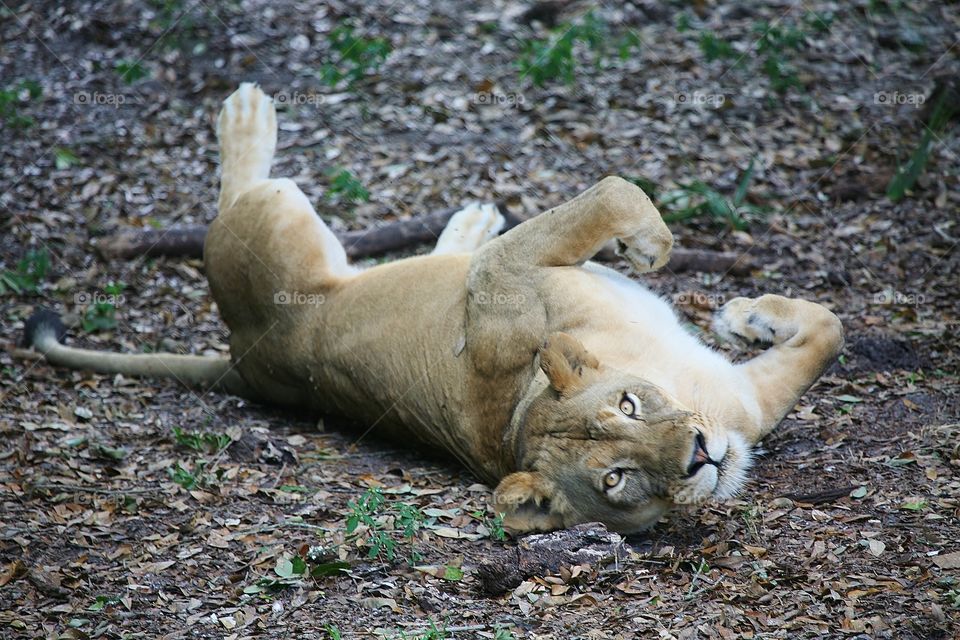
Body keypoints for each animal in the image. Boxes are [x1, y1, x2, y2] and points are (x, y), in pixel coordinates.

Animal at [25, 83, 844, 534]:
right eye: (616, 480)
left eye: (631, 405)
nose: (702, 456)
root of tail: (244, 363)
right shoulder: (500, 279)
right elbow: (613, 189)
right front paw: (655, 248)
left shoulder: (741, 402)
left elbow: (828, 329)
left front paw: (744, 315)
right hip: (274, 221)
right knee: (233, 201)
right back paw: (246, 111)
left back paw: (469, 217)